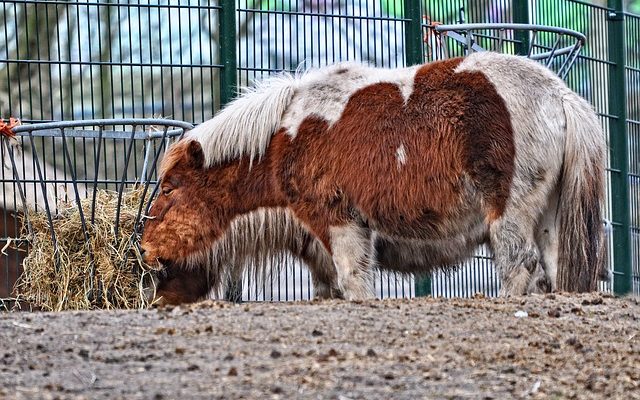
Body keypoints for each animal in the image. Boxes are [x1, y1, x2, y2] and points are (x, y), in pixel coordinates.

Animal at [140, 52, 604, 304]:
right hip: (548, 218)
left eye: (169, 187)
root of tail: (559, 94)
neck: (286, 136)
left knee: (520, 266)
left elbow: (356, 283)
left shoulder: (341, 223)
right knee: (553, 268)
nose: (143, 249)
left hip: (508, 214)